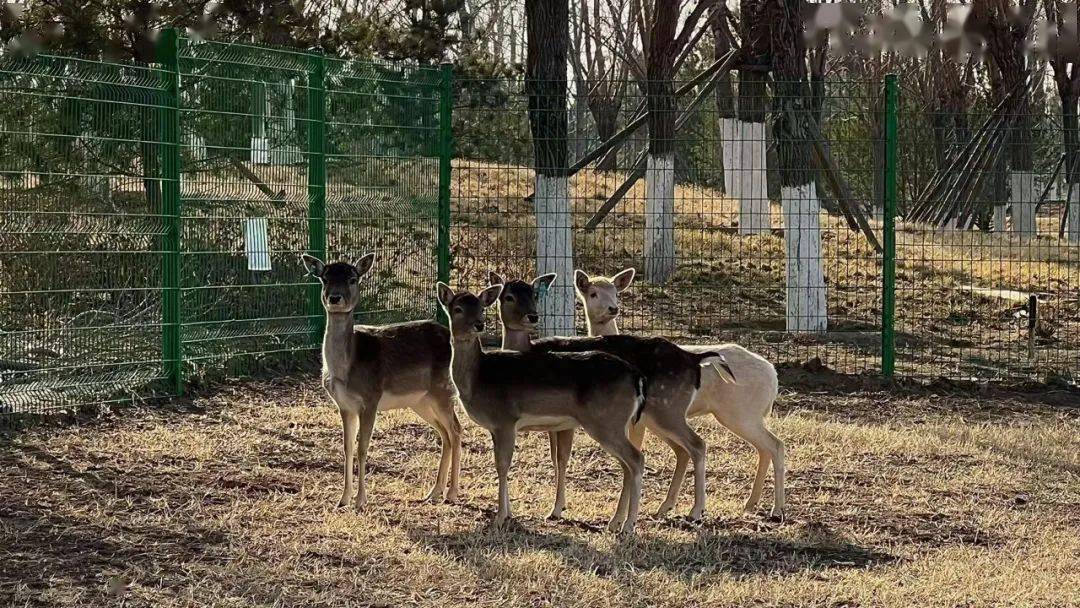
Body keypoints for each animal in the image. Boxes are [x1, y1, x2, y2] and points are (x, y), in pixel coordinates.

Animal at [302, 254, 462, 511]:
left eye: (353, 278)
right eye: (325, 278)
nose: (335, 298)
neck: (346, 369)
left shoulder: (371, 399)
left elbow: (362, 447)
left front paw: (360, 501)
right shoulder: (344, 405)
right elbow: (346, 447)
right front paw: (342, 499)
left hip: (443, 392)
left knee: (456, 431)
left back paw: (452, 493)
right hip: (421, 402)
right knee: (445, 434)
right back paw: (433, 492)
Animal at [434, 280, 643, 533]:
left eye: (482, 308)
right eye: (457, 309)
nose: (479, 324)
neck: (477, 378)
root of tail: (635, 377)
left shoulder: (505, 420)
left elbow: (502, 465)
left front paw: (500, 517)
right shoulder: (496, 427)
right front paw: (509, 513)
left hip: (606, 422)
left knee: (636, 459)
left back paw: (629, 525)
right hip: (618, 424)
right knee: (627, 465)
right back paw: (615, 522)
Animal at [490, 272, 734, 522]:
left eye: (535, 295)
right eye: (508, 296)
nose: (532, 316)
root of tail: (694, 360)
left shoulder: (564, 421)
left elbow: (561, 458)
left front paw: (556, 509)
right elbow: (555, 457)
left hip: (667, 408)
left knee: (697, 444)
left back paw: (695, 510)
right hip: (658, 415)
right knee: (681, 450)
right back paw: (664, 507)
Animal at [574, 268, 786, 520]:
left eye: (616, 292)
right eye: (593, 293)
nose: (612, 308)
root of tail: (772, 376)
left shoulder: (639, 421)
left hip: (740, 413)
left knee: (774, 445)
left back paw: (775, 508)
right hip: (744, 416)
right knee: (764, 448)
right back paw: (750, 504)